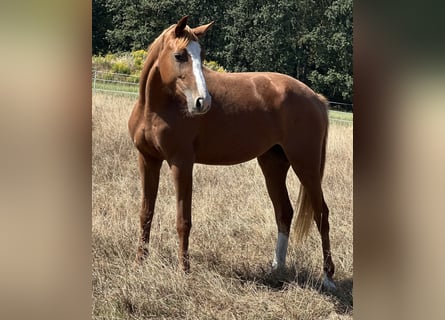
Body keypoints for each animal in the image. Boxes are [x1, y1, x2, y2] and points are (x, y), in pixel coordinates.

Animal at [126, 16, 334, 288]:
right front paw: (139, 263)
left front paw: (184, 271)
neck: (156, 107)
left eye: (202, 55)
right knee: (284, 212)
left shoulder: (181, 163)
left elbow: (183, 220)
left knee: (321, 214)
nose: (203, 102)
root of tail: (315, 97)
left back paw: (328, 278)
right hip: (273, 165)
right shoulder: (148, 160)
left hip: (305, 165)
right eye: (180, 55)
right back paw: (277, 268)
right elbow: (145, 213)